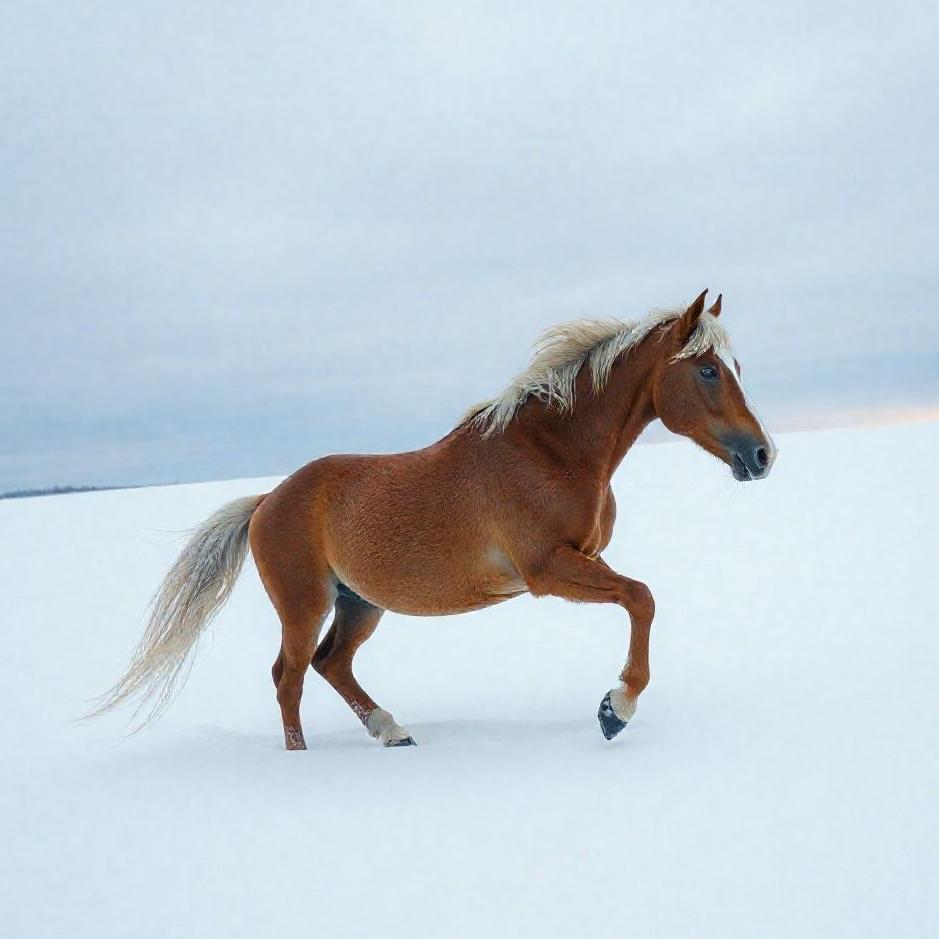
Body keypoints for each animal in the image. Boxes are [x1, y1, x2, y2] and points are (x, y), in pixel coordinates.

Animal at [93, 289, 776, 749]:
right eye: (707, 370)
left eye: (736, 369)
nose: (762, 455)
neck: (553, 450)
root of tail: (266, 501)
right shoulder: (547, 571)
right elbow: (642, 597)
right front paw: (617, 708)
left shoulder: (584, 557)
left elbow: (640, 599)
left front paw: (614, 707)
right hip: (305, 602)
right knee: (289, 675)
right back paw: (303, 756)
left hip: (360, 602)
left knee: (331, 664)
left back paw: (392, 731)